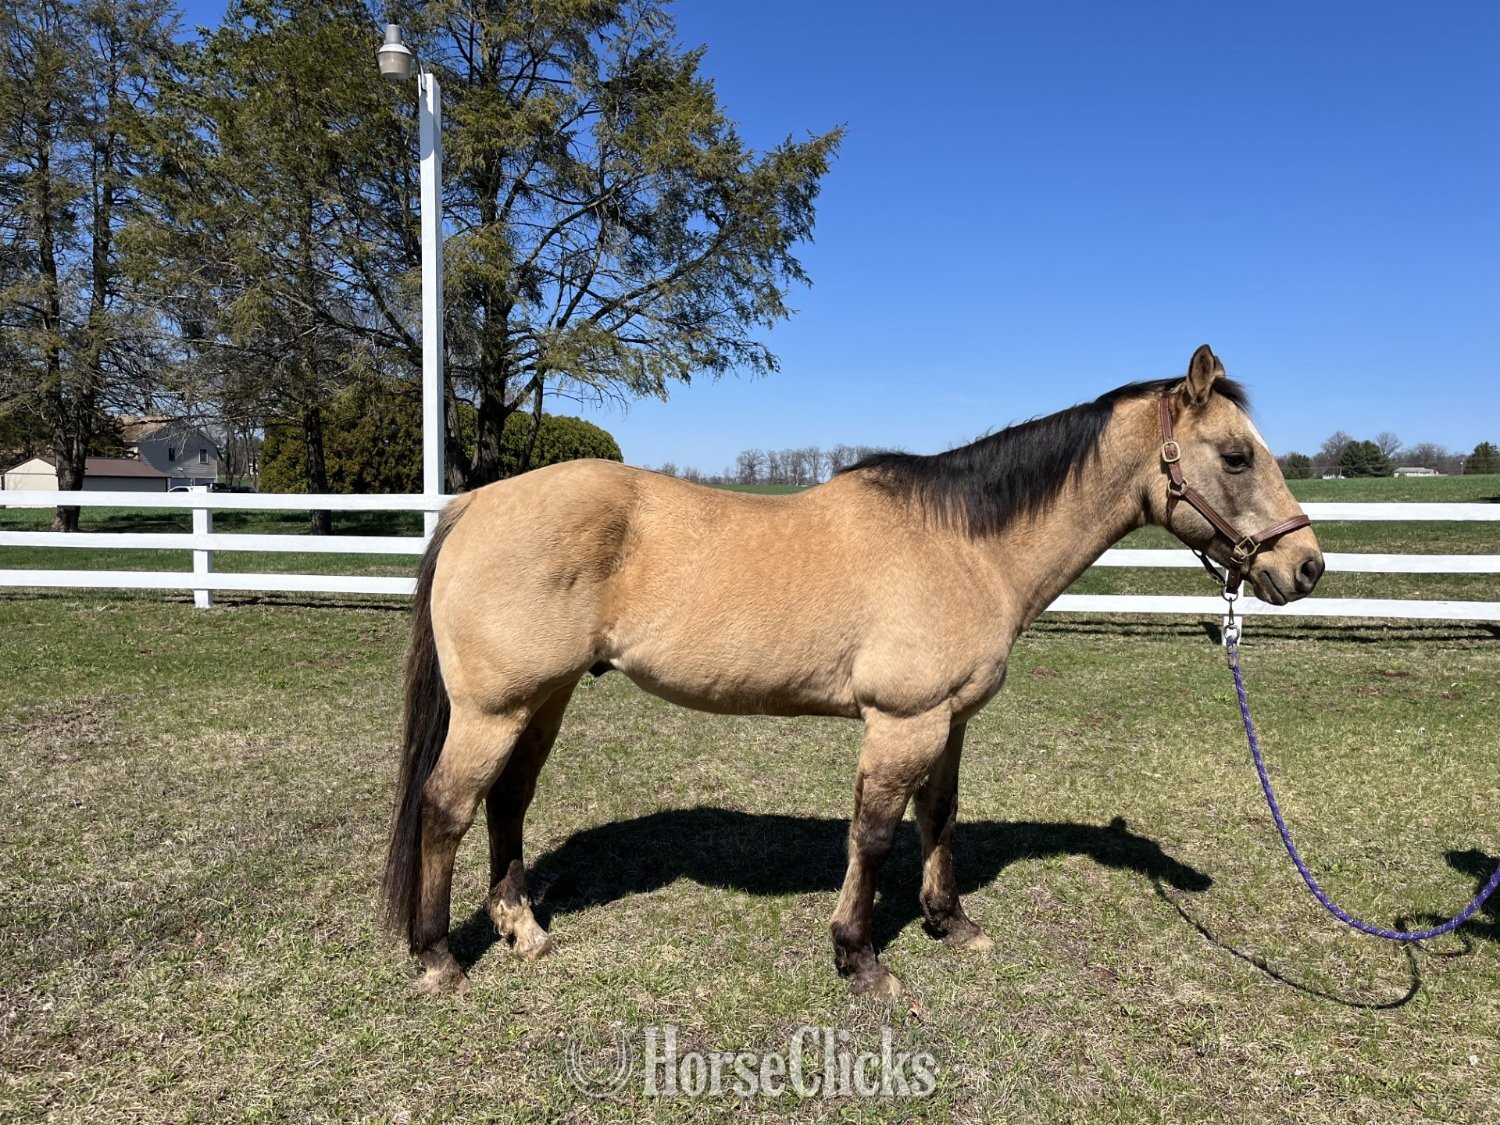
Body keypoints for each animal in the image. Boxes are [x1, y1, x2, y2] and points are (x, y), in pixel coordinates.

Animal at [383, 344, 1324, 997]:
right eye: (1236, 455)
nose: (1307, 566)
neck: (966, 545)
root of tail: (473, 502)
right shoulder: (902, 721)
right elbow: (872, 835)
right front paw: (861, 957)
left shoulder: (948, 721)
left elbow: (940, 818)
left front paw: (950, 922)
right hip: (494, 708)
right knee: (448, 806)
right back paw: (438, 957)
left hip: (542, 699)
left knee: (508, 800)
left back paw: (524, 929)